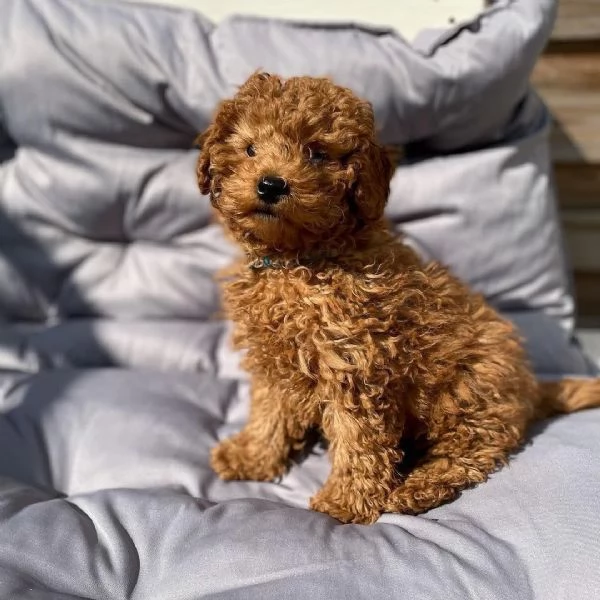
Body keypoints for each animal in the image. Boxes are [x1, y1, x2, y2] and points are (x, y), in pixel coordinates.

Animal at [196, 71, 600, 524]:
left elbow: (358, 437)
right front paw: (252, 456)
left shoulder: (355, 362)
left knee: (471, 452)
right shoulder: (276, 362)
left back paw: (416, 488)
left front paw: (346, 500)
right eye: (249, 149)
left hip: (470, 390)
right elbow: (269, 412)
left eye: (316, 154)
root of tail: (531, 387)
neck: (297, 259)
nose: (270, 184)